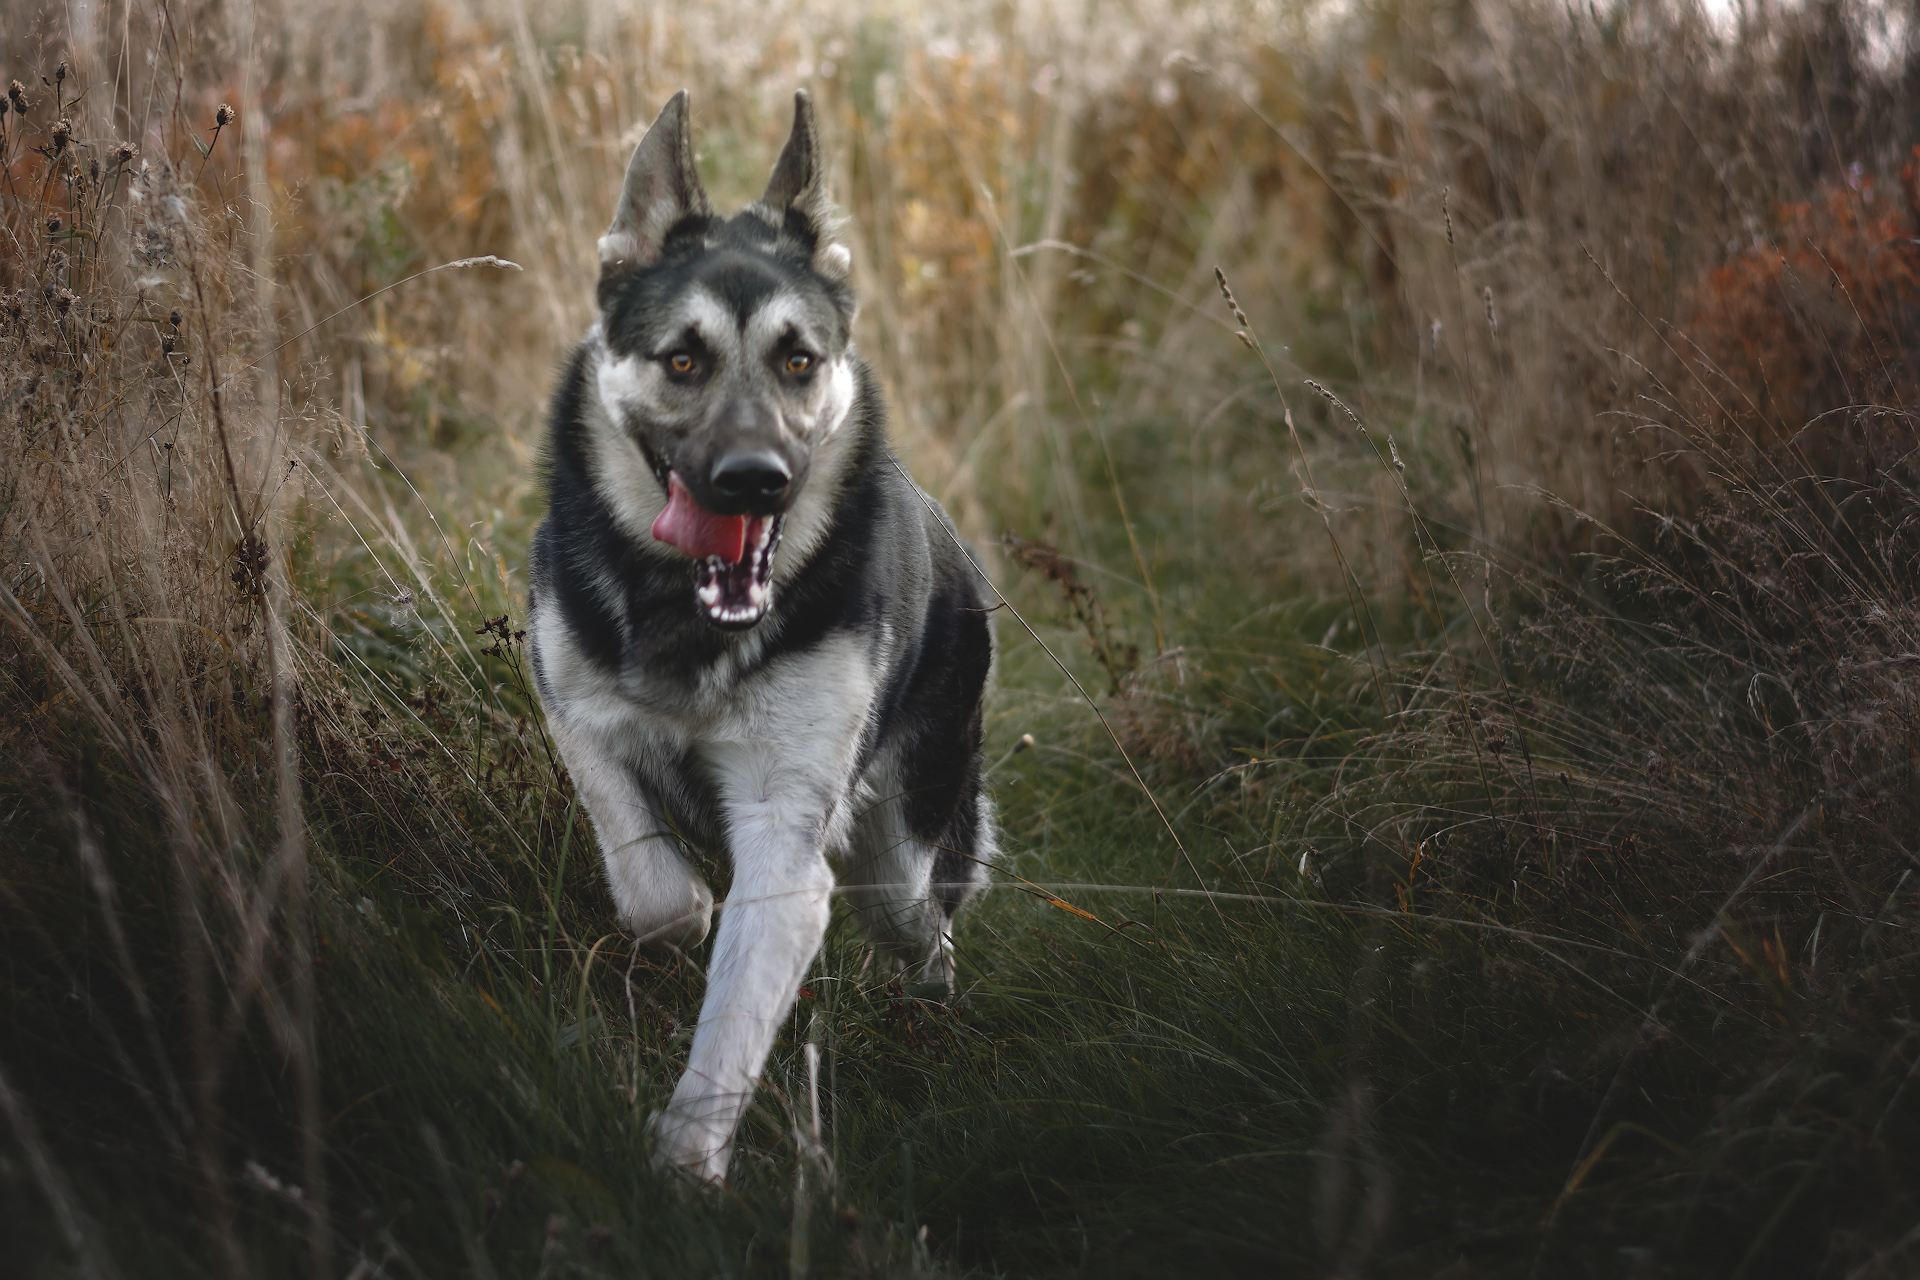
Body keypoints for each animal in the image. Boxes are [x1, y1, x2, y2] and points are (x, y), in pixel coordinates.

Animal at [529, 90, 998, 1189]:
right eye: (682, 359)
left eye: (798, 361)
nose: (754, 480)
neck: (686, 615)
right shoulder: (570, 701)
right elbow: (650, 876)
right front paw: (684, 908)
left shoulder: (788, 845)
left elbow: (735, 1019)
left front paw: (684, 1162)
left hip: (899, 863)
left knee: (925, 928)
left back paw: (926, 1008)